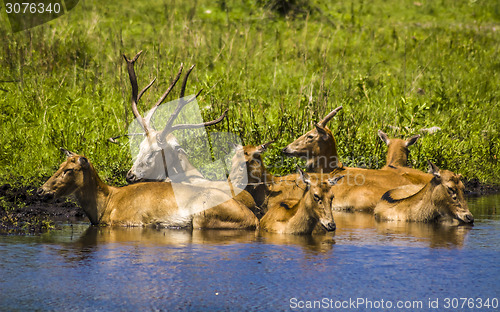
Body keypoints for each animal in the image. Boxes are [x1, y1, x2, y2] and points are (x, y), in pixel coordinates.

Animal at [36, 149, 258, 229]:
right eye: (59, 166)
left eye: (69, 169)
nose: (41, 190)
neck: (107, 202)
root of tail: (253, 218)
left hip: (202, 218)